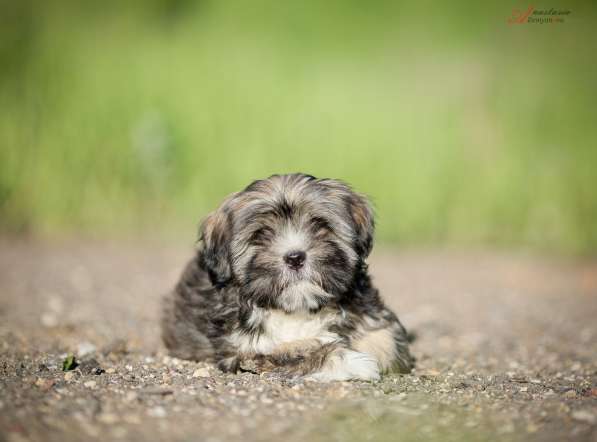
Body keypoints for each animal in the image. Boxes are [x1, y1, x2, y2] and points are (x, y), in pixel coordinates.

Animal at [161, 173, 412, 380]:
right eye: (261, 234)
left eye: (319, 225)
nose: (294, 257)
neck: (296, 308)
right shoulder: (244, 349)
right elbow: (291, 351)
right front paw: (351, 361)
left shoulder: (371, 315)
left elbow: (388, 340)